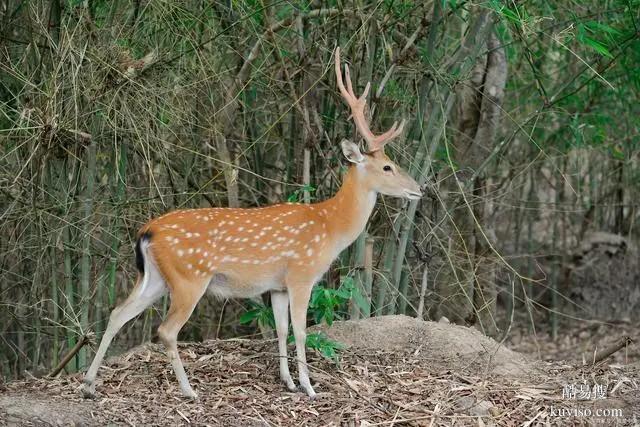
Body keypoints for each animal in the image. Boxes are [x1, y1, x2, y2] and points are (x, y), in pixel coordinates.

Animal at [82, 47, 422, 402]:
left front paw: (288, 382)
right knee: (166, 329)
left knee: (118, 313)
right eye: (387, 166)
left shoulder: (277, 285)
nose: (419, 189)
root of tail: (147, 232)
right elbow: (301, 330)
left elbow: (281, 329)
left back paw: (89, 384)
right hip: (189, 277)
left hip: (155, 277)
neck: (329, 225)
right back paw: (189, 391)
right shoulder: (301, 274)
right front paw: (309, 387)